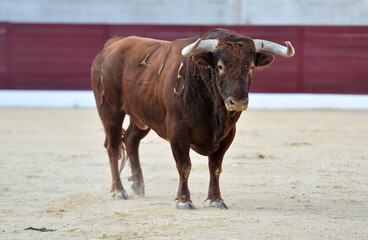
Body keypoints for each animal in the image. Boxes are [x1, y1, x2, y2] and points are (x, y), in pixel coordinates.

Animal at [92, 27, 296, 208]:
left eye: (251, 67)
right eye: (220, 66)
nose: (237, 102)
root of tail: (111, 46)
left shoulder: (228, 135)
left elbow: (215, 167)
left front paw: (216, 200)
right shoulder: (178, 133)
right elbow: (184, 166)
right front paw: (184, 200)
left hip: (141, 116)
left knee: (131, 140)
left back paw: (138, 186)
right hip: (110, 110)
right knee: (113, 146)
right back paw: (119, 191)